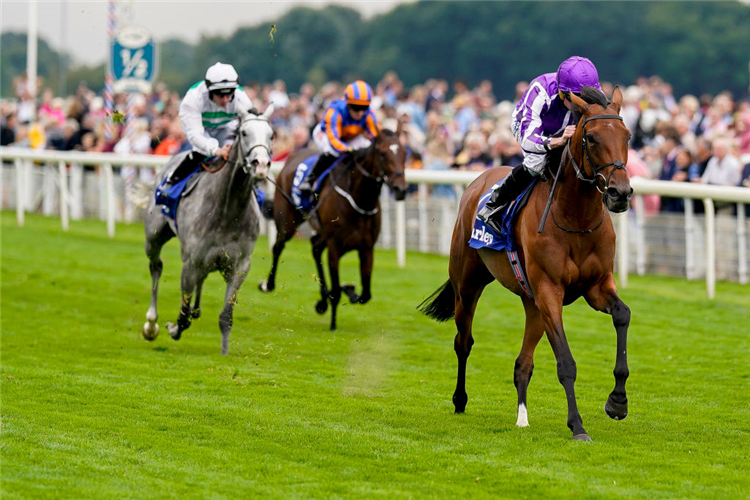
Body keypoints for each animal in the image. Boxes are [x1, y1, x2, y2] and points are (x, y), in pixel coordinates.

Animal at [142, 104, 274, 356]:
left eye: (271, 135)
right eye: (244, 133)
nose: (261, 164)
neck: (228, 210)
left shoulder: (239, 266)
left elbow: (226, 316)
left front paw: (224, 354)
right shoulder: (191, 262)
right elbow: (183, 314)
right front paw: (173, 328)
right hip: (153, 236)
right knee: (156, 266)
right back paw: (151, 323)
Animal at [260, 127, 412, 330]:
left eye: (404, 153)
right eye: (382, 153)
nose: (401, 189)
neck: (360, 199)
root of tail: (292, 157)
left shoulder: (366, 248)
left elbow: (365, 295)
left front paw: (345, 290)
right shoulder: (335, 247)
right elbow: (338, 290)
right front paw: (333, 324)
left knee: (315, 247)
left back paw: (323, 299)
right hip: (288, 221)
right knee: (278, 247)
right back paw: (268, 284)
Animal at [424, 88, 636, 440]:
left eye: (628, 136)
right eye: (591, 138)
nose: (620, 193)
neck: (576, 219)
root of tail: (480, 178)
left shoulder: (597, 285)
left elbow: (623, 314)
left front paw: (617, 401)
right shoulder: (550, 290)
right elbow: (565, 362)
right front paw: (577, 425)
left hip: (532, 303)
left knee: (522, 363)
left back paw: (522, 417)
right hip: (468, 285)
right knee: (463, 342)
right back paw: (460, 399)